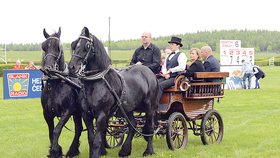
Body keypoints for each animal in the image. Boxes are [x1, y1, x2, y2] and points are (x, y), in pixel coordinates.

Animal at [41, 27, 82, 158]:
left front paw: (55, 151)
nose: (48, 68)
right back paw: (73, 150)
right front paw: (55, 150)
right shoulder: (47, 113)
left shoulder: (66, 112)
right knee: (79, 128)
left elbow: (56, 130)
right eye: (44, 46)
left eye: (58, 46)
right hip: (77, 113)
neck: (56, 84)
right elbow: (50, 131)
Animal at [68, 26, 160, 157]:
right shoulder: (86, 115)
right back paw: (125, 150)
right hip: (128, 109)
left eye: (87, 46)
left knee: (150, 127)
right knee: (133, 125)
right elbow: (91, 139)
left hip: (150, 107)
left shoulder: (102, 114)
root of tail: (149, 72)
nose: (71, 67)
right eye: (74, 44)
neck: (95, 83)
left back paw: (149, 151)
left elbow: (97, 140)